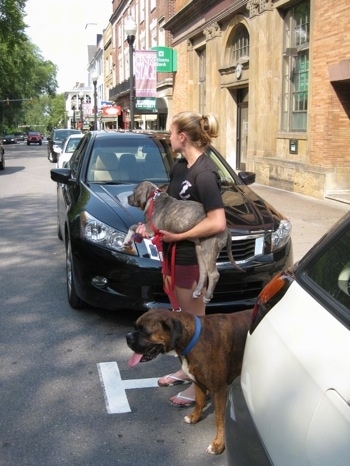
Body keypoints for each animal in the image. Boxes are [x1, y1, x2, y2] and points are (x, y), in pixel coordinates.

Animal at [126, 308, 252, 454]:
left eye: (144, 332)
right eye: (135, 327)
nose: (127, 336)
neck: (192, 339)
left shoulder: (218, 390)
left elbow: (219, 418)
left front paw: (218, 443)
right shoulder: (198, 382)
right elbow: (199, 402)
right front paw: (194, 417)